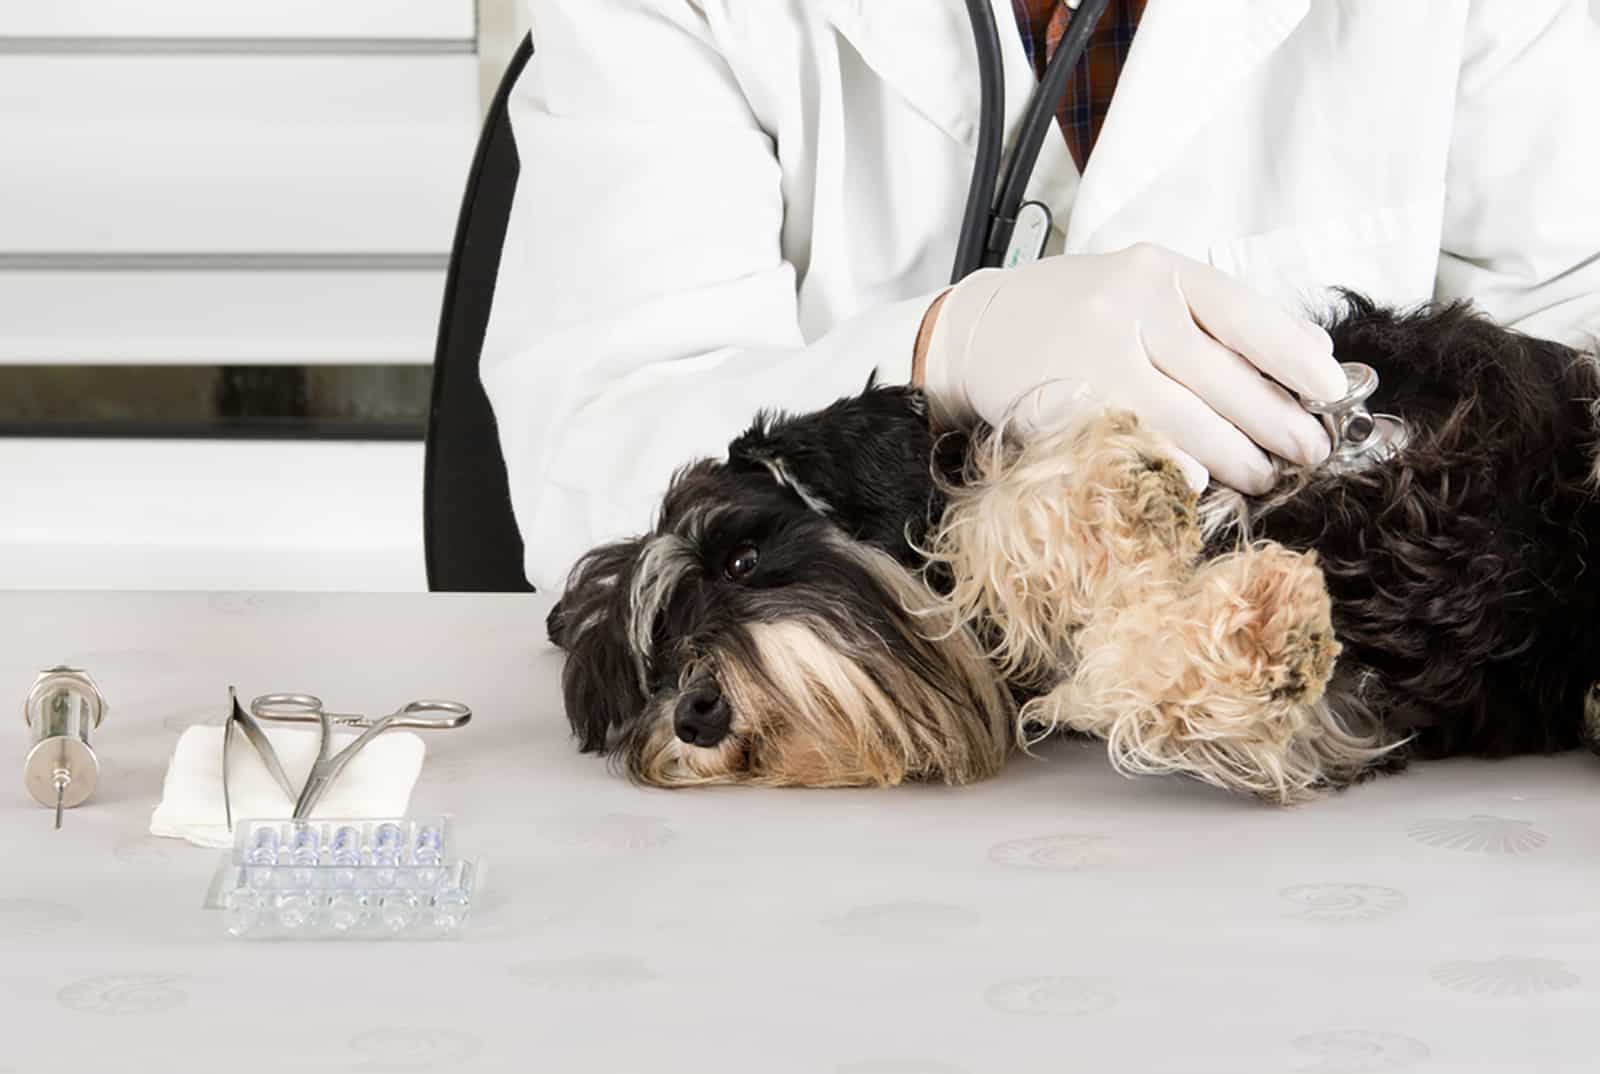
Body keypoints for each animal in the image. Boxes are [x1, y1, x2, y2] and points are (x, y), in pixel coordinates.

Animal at [547, 297, 1600, 803]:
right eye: (644, 678)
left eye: (740, 561)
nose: (695, 712)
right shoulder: (1345, 719)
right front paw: (1268, 630)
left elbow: (993, 517)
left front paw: (1118, 489)